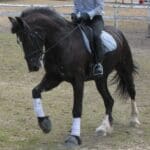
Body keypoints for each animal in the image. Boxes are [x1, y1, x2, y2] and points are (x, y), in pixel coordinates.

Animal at [8, 7, 139, 146]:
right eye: (20, 39)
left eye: (31, 36)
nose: (33, 66)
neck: (63, 44)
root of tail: (118, 32)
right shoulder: (54, 77)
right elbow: (35, 91)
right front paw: (45, 123)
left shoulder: (78, 81)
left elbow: (77, 108)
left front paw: (74, 137)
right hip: (100, 79)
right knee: (109, 100)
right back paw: (104, 127)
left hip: (124, 69)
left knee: (131, 91)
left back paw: (134, 119)